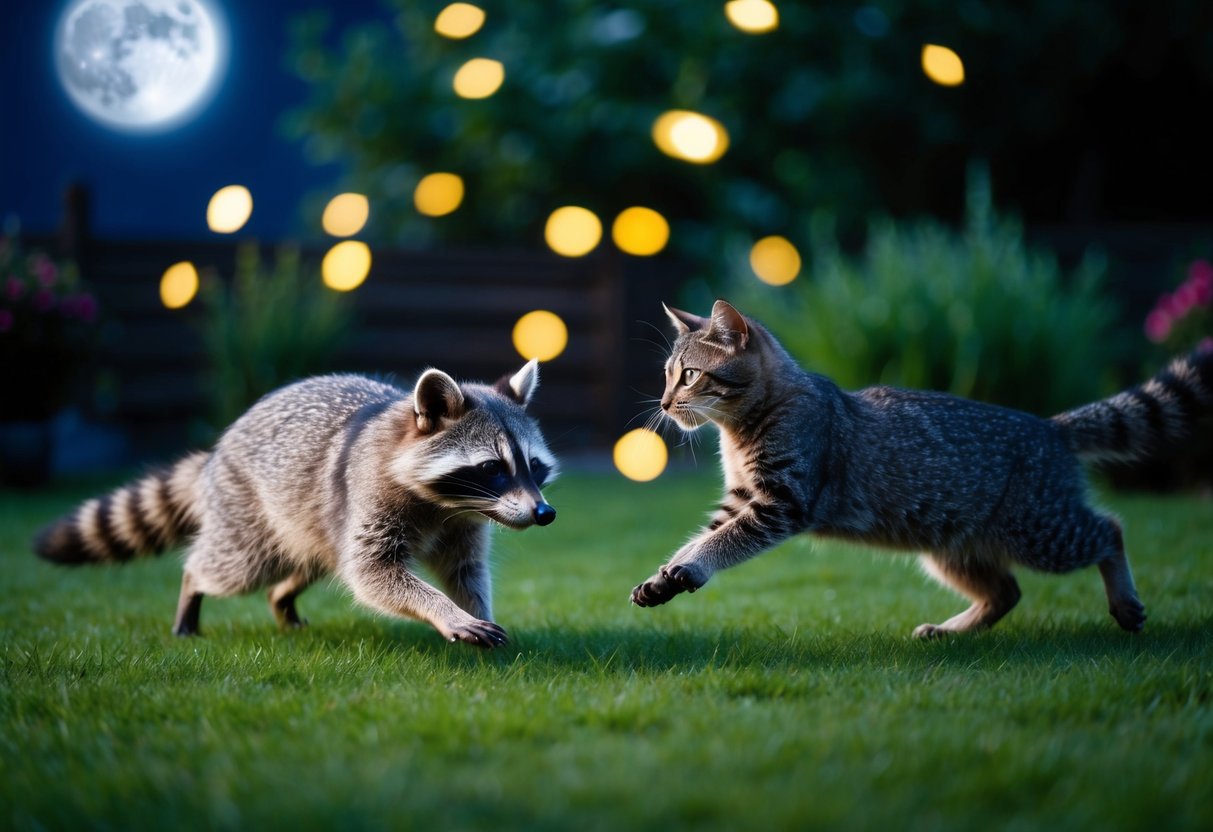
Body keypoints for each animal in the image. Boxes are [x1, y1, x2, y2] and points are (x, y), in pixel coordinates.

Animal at [35, 361, 558, 647]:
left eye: (534, 466)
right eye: (492, 467)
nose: (544, 514)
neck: (446, 503)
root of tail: (216, 453)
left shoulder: (464, 522)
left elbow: (464, 569)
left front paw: (475, 609)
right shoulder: (370, 495)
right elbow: (374, 573)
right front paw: (446, 612)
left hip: (309, 524)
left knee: (309, 565)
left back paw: (282, 600)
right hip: (249, 507)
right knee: (238, 566)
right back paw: (193, 586)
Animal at [631, 300, 1213, 637]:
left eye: (689, 375)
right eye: (666, 374)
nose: (663, 403)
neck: (740, 433)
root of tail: (1049, 426)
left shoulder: (780, 501)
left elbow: (721, 541)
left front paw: (691, 567)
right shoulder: (741, 497)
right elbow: (703, 534)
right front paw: (666, 575)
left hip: (1042, 532)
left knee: (1109, 530)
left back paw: (1125, 603)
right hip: (951, 547)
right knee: (1006, 592)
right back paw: (951, 631)